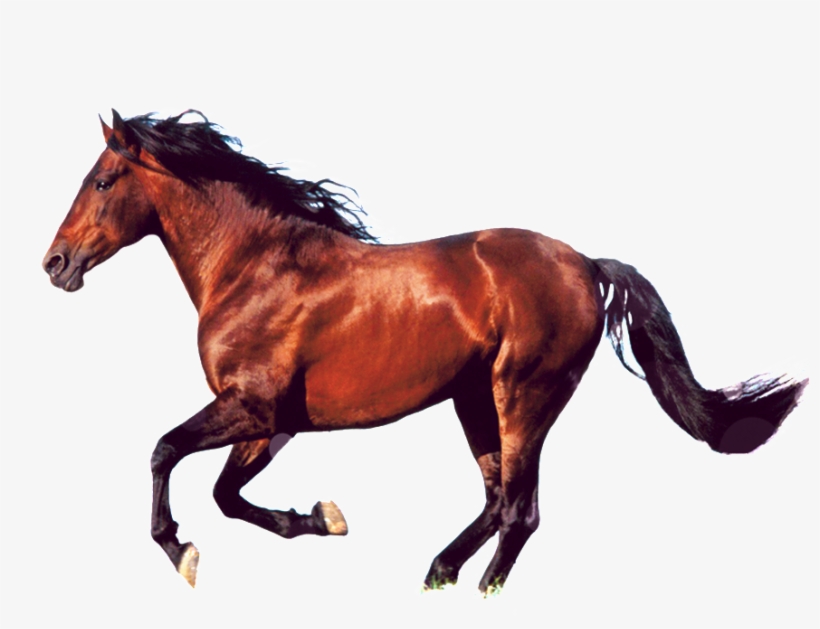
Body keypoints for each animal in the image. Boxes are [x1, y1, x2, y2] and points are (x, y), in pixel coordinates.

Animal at [43, 110, 807, 594]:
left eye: (102, 181)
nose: (55, 263)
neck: (256, 266)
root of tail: (588, 264)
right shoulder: (274, 422)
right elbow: (226, 492)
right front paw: (322, 518)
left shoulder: (252, 406)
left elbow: (165, 451)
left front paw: (183, 552)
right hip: (475, 400)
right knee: (499, 499)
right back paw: (439, 572)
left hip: (523, 395)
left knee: (520, 510)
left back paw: (475, 589)